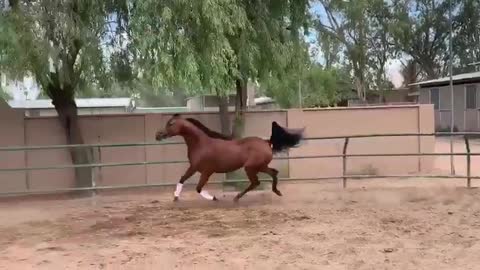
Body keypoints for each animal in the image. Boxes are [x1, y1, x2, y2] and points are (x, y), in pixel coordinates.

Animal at [154, 114, 304, 202]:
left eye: (171, 123)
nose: (158, 135)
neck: (201, 144)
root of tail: (267, 142)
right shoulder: (193, 167)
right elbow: (182, 179)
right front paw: (175, 197)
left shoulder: (206, 171)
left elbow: (198, 188)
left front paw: (213, 197)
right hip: (260, 166)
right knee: (273, 173)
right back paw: (277, 192)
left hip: (250, 168)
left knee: (256, 182)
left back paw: (237, 198)